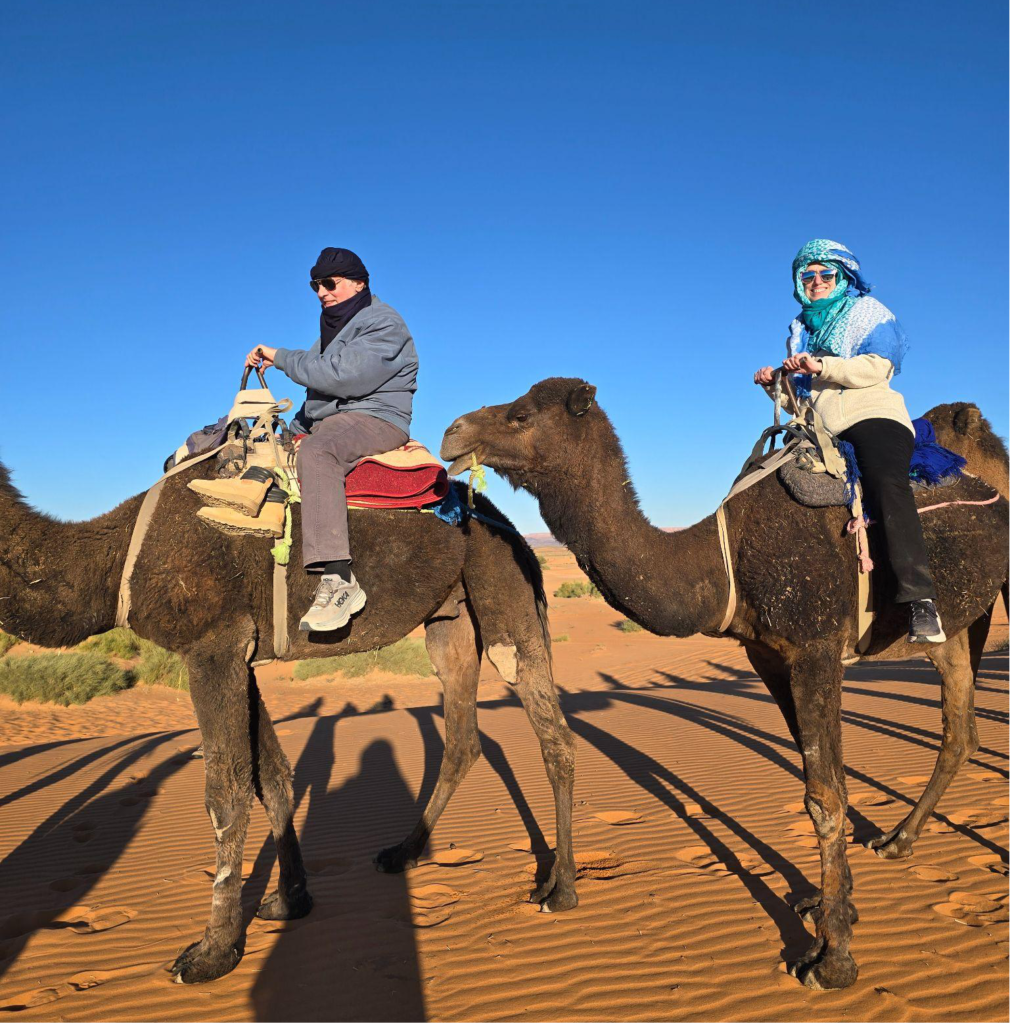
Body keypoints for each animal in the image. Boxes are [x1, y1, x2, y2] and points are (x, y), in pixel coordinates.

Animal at [0, 458, 578, 985]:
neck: (112, 557)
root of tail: (509, 526)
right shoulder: (242, 654)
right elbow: (272, 775)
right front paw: (289, 898)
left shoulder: (212, 646)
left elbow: (226, 791)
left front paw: (212, 952)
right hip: (450, 618)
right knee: (462, 737)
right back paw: (402, 852)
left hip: (502, 591)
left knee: (553, 734)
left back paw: (560, 888)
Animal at [440, 378, 1010, 990]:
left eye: (521, 416)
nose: (452, 433)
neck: (723, 558)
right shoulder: (768, 656)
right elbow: (824, 781)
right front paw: (831, 908)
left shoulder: (815, 650)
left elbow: (825, 798)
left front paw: (832, 960)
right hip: (956, 624)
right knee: (960, 726)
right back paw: (898, 841)